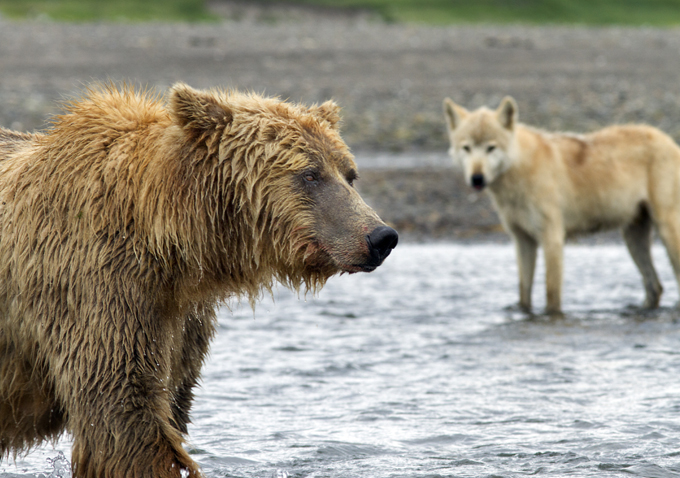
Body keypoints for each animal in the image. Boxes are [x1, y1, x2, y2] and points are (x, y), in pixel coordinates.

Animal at [0, 83, 398, 478]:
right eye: (310, 174)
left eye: (349, 174)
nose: (381, 236)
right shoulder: (96, 284)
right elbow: (124, 408)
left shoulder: (182, 317)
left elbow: (171, 399)